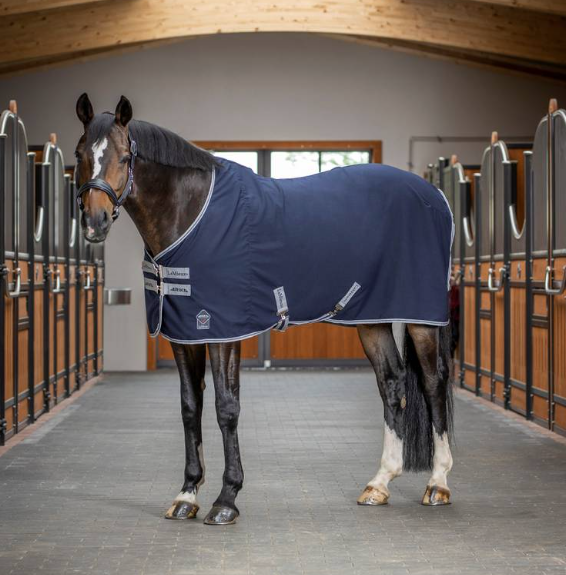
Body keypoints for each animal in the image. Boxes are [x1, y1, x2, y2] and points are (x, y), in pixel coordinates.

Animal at [74, 93, 454, 526]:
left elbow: (226, 407)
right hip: (371, 320)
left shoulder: (223, 330)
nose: (94, 222)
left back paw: (438, 484)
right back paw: (379, 483)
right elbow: (190, 407)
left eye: (124, 157)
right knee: (391, 384)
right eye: (80, 153)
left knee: (433, 384)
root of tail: (434, 196)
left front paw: (226, 499)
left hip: (422, 320)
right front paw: (187, 494)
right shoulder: (184, 333)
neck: (190, 212)